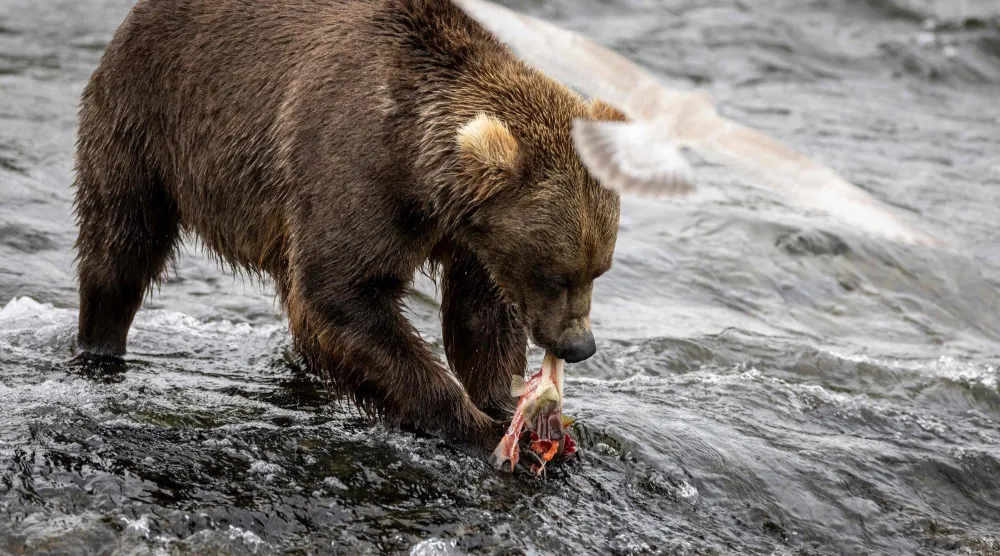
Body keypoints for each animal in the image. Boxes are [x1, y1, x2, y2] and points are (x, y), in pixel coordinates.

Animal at [72, 0, 628, 452]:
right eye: (553, 273)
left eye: (598, 270)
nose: (579, 346)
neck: (420, 173)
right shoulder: (355, 170)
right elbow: (342, 294)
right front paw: (474, 424)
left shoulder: (471, 234)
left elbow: (479, 315)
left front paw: (514, 408)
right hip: (148, 119)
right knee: (120, 244)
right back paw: (99, 345)